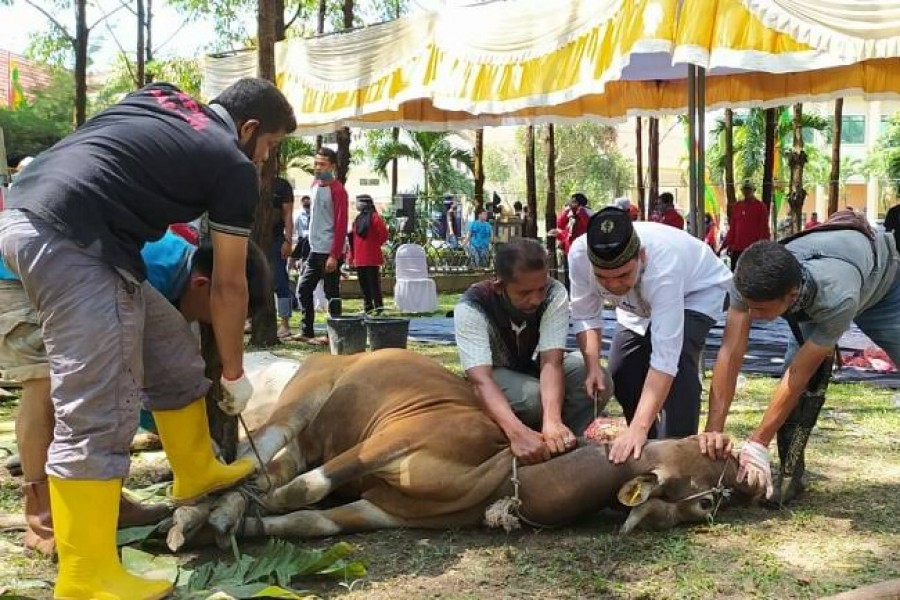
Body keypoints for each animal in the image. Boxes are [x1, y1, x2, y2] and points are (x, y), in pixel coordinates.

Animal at [169, 344, 760, 548]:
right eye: (699, 450)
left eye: (708, 504)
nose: (752, 479)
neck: (496, 473)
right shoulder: (391, 439)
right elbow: (301, 491)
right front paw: (212, 516)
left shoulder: (383, 511)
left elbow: (306, 519)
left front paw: (239, 524)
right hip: (304, 395)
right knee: (262, 455)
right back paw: (196, 503)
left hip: (310, 433)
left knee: (266, 465)